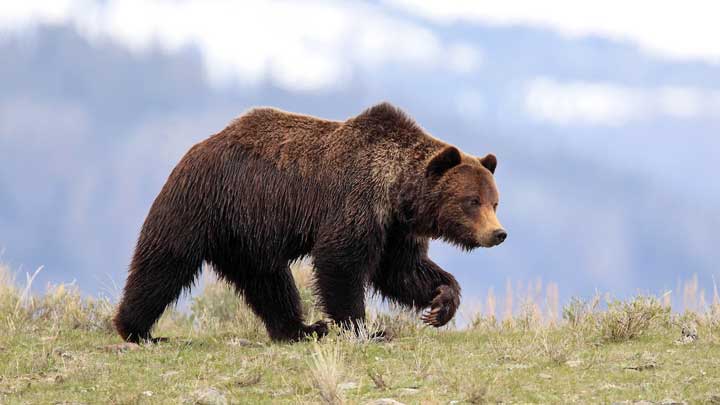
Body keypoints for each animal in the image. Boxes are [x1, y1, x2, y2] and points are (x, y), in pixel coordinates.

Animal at [114, 102, 506, 340]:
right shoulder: (356, 202)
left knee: (269, 282)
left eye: (494, 201)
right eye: (472, 201)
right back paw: (136, 328)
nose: (498, 233)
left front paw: (441, 304)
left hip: (247, 234)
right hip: (202, 204)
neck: (397, 191)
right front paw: (365, 328)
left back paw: (299, 328)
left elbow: (402, 270)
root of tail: (198, 147)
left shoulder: (395, 229)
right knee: (164, 262)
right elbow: (340, 262)